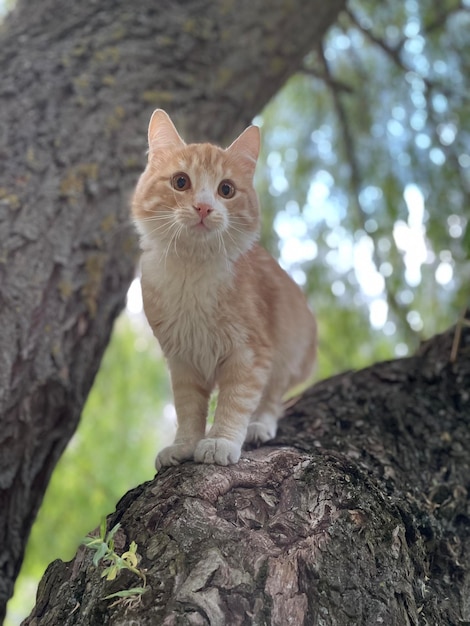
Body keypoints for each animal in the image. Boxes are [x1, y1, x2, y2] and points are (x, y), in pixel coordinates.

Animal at [130, 108, 318, 468]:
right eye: (181, 182)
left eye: (226, 189)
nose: (204, 207)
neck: (193, 272)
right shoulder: (182, 359)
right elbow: (188, 409)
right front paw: (184, 444)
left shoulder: (251, 352)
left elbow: (235, 401)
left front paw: (221, 440)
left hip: (290, 350)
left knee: (272, 398)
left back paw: (259, 425)